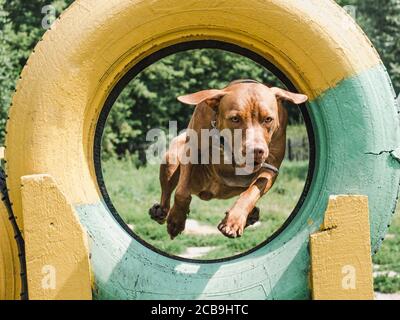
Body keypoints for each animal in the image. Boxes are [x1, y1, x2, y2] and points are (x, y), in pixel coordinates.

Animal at [148, 80, 308, 240]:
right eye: (235, 119)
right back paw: (160, 212)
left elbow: (252, 192)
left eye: (268, 119)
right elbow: (181, 192)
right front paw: (176, 220)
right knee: (167, 192)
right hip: (171, 159)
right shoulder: (191, 150)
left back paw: (250, 216)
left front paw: (233, 221)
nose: (256, 151)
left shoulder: (270, 167)